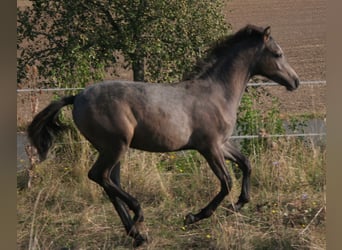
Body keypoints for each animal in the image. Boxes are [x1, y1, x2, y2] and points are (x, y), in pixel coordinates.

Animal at [27, 24, 300, 247]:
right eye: (278, 54)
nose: (295, 81)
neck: (217, 93)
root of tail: (77, 96)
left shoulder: (221, 144)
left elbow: (246, 164)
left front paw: (238, 204)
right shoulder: (209, 147)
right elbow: (226, 182)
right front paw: (194, 216)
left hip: (111, 149)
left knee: (110, 182)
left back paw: (137, 235)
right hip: (115, 145)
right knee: (99, 176)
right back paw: (138, 215)